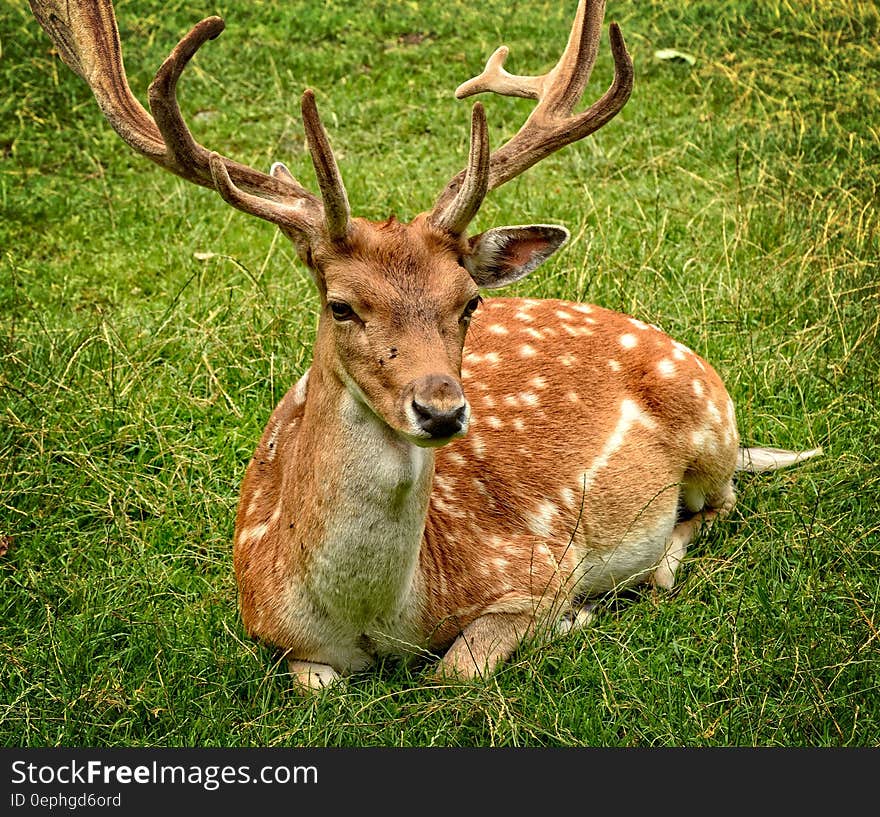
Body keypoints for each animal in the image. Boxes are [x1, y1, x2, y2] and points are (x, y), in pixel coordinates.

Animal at [31, 0, 820, 688]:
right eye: (341, 305)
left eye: (468, 301)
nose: (441, 409)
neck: (378, 616)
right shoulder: (268, 625)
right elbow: (316, 685)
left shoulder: (538, 564)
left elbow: (456, 670)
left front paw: (573, 620)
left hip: (708, 422)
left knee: (720, 503)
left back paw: (658, 569)